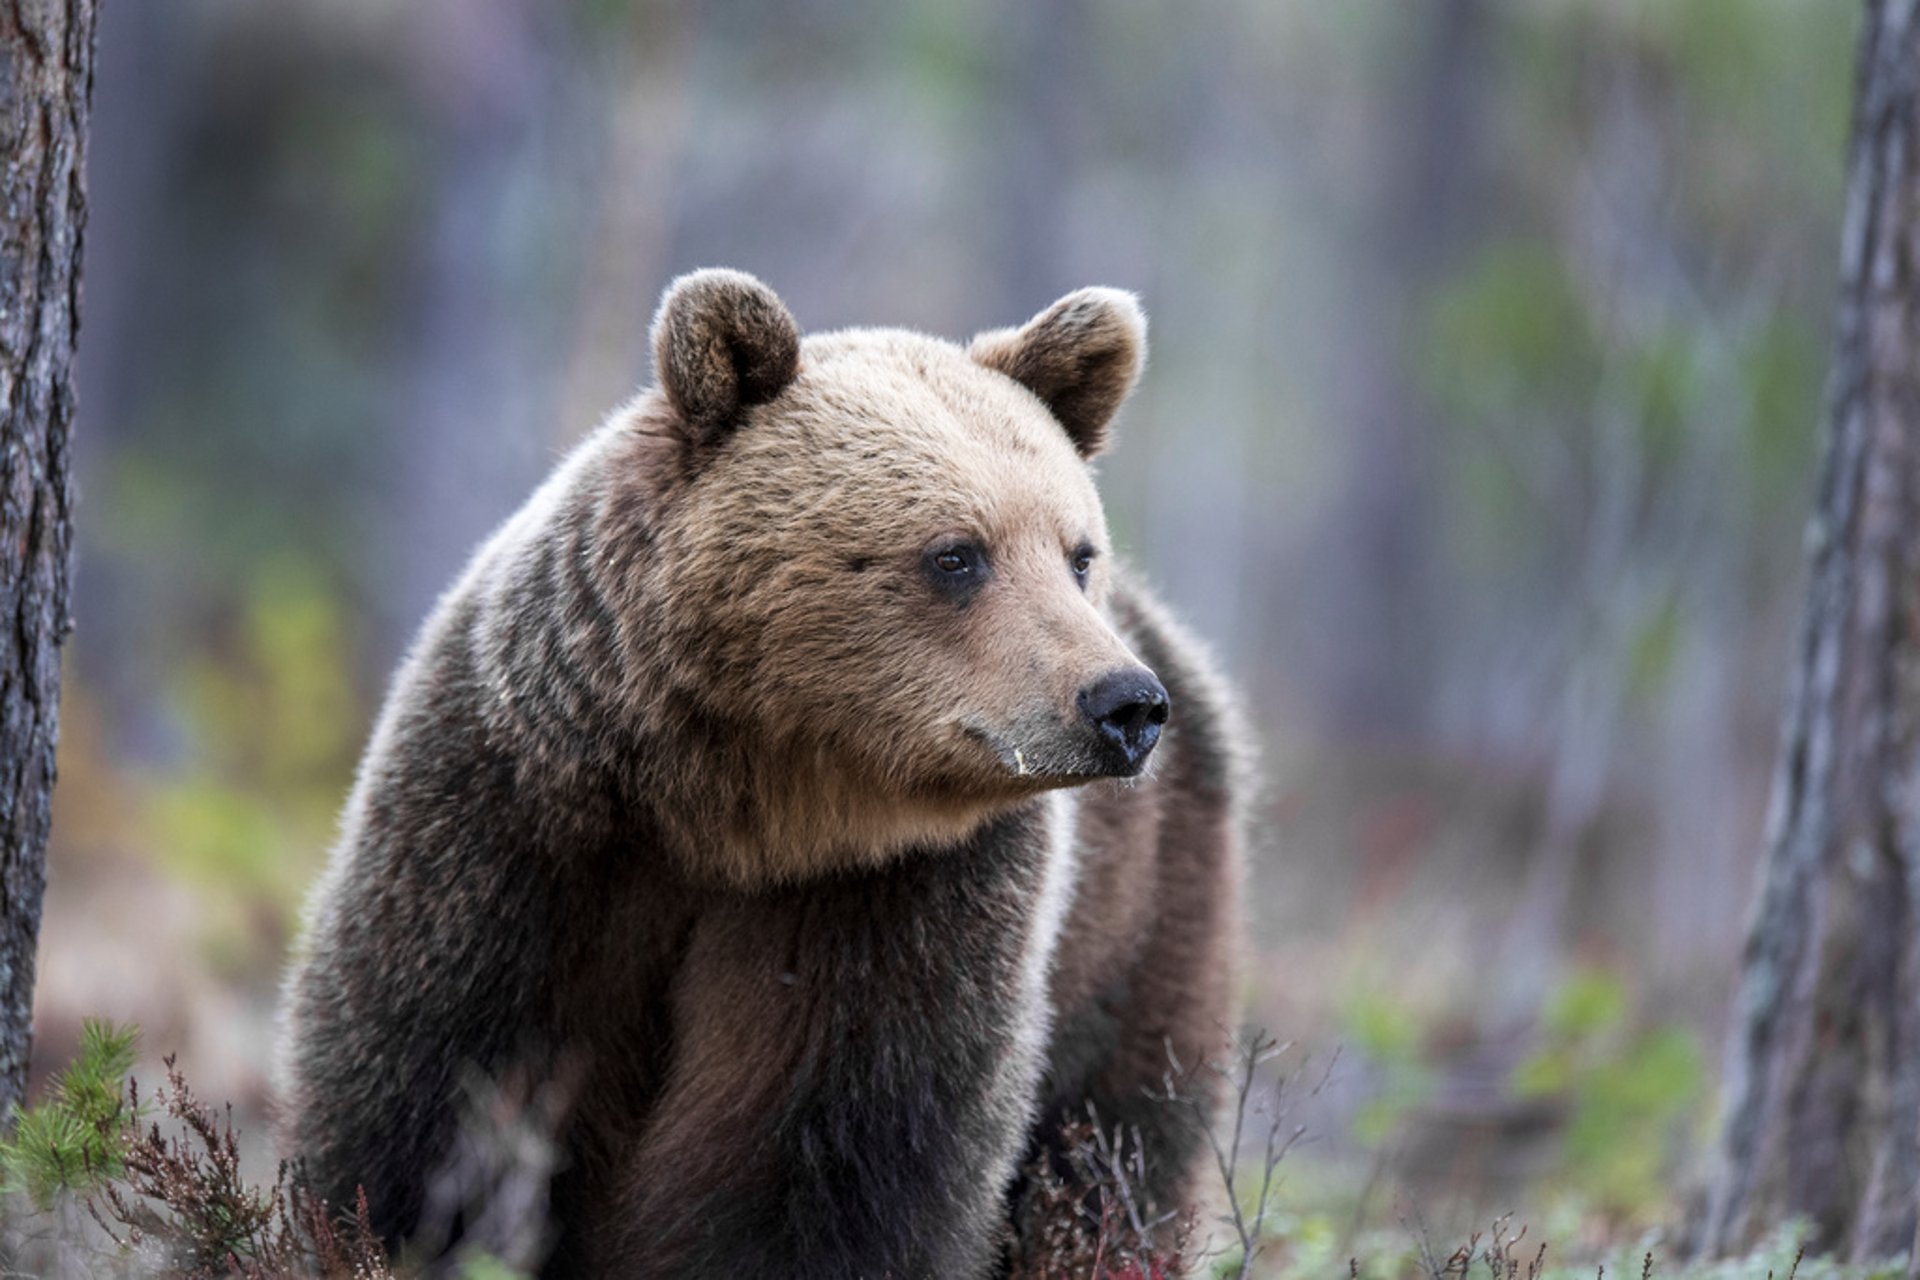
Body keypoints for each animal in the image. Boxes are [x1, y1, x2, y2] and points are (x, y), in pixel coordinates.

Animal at [278, 264, 1251, 1274]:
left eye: (1077, 554)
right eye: (956, 554)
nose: (1123, 704)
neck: (740, 811)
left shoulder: (896, 901)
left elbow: (833, 1156)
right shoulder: (513, 829)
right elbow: (421, 1094)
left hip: (1144, 915)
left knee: (1119, 1140)